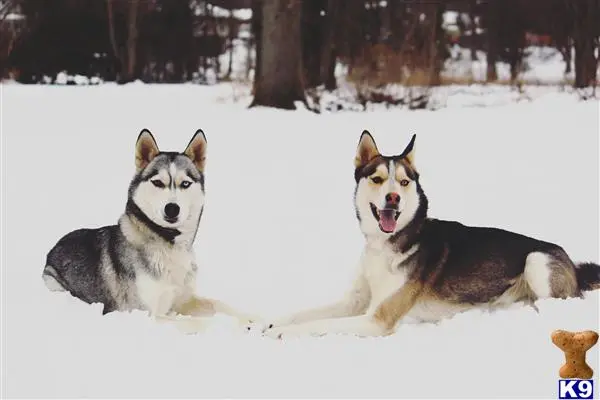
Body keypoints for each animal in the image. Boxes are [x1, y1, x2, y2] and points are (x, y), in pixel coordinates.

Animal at [42, 130, 255, 330]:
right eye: (158, 182)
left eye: (185, 183)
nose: (172, 208)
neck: (168, 244)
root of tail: (56, 244)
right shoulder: (146, 313)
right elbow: (198, 323)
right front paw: (233, 328)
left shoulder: (183, 300)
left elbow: (220, 304)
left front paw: (256, 321)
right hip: (53, 282)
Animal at [266, 133, 600, 340]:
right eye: (377, 179)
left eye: (403, 182)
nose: (392, 198)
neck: (385, 246)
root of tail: (571, 263)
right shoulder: (354, 301)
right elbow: (304, 313)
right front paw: (268, 322)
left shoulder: (377, 318)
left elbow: (320, 323)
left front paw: (279, 333)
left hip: (536, 260)